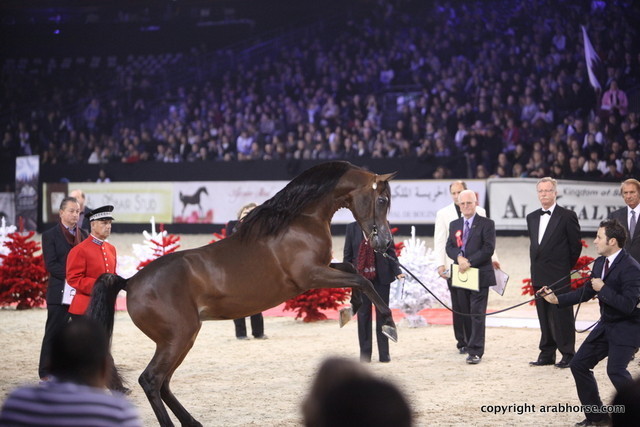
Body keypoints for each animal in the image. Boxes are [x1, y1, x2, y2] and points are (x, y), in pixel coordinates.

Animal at [87, 161, 397, 427]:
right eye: (382, 200)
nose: (384, 242)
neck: (298, 221)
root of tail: (131, 281)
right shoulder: (310, 276)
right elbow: (362, 280)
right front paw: (388, 324)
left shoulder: (322, 269)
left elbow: (353, 271)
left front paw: (350, 309)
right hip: (176, 338)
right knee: (151, 380)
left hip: (182, 339)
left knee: (163, 383)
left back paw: (192, 422)